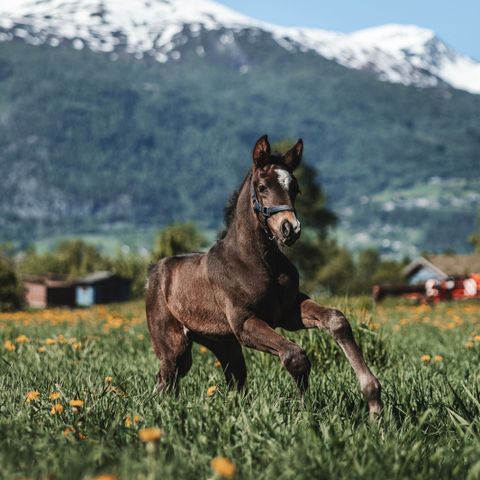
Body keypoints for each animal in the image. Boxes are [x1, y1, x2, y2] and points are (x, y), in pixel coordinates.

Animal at [146, 134, 382, 416]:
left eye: (295, 188)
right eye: (261, 187)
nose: (290, 228)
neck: (259, 261)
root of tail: (154, 271)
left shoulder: (288, 312)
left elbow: (336, 320)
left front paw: (374, 401)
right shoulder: (246, 323)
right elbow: (295, 357)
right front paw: (305, 413)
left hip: (225, 344)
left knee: (234, 379)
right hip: (175, 346)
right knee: (166, 377)